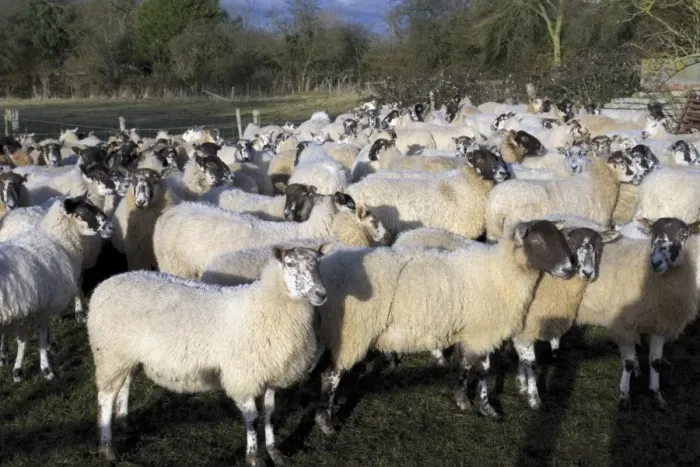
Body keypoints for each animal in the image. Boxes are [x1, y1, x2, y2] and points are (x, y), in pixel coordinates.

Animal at [0, 196, 112, 382]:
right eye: (83, 211)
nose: (111, 227)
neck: (57, 240)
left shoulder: (25, 311)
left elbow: (23, 340)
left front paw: (18, 370)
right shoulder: (43, 305)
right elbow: (38, 339)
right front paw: (46, 370)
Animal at [88, 244, 328, 465]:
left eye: (318, 263)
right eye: (290, 264)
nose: (321, 294)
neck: (267, 304)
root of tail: (106, 283)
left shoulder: (272, 374)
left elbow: (269, 415)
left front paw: (274, 452)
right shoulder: (243, 377)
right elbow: (252, 419)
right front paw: (253, 458)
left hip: (126, 356)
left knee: (125, 385)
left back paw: (124, 422)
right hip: (109, 354)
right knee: (105, 398)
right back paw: (107, 448)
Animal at [313, 219, 575, 434]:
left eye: (561, 239)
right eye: (538, 240)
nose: (569, 269)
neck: (502, 273)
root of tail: (328, 266)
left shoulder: (470, 332)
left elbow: (466, 365)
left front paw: (462, 399)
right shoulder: (483, 331)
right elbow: (484, 370)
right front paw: (486, 407)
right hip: (353, 332)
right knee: (331, 375)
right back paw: (326, 422)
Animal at [576, 217, 700, 409]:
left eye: (683, 235)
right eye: (652, 234)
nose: (656, 262)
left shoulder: (660, 324)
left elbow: (655, 362)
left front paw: (656, 394)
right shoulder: (624, 323)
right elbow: (627, 362)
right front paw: (624, 395)